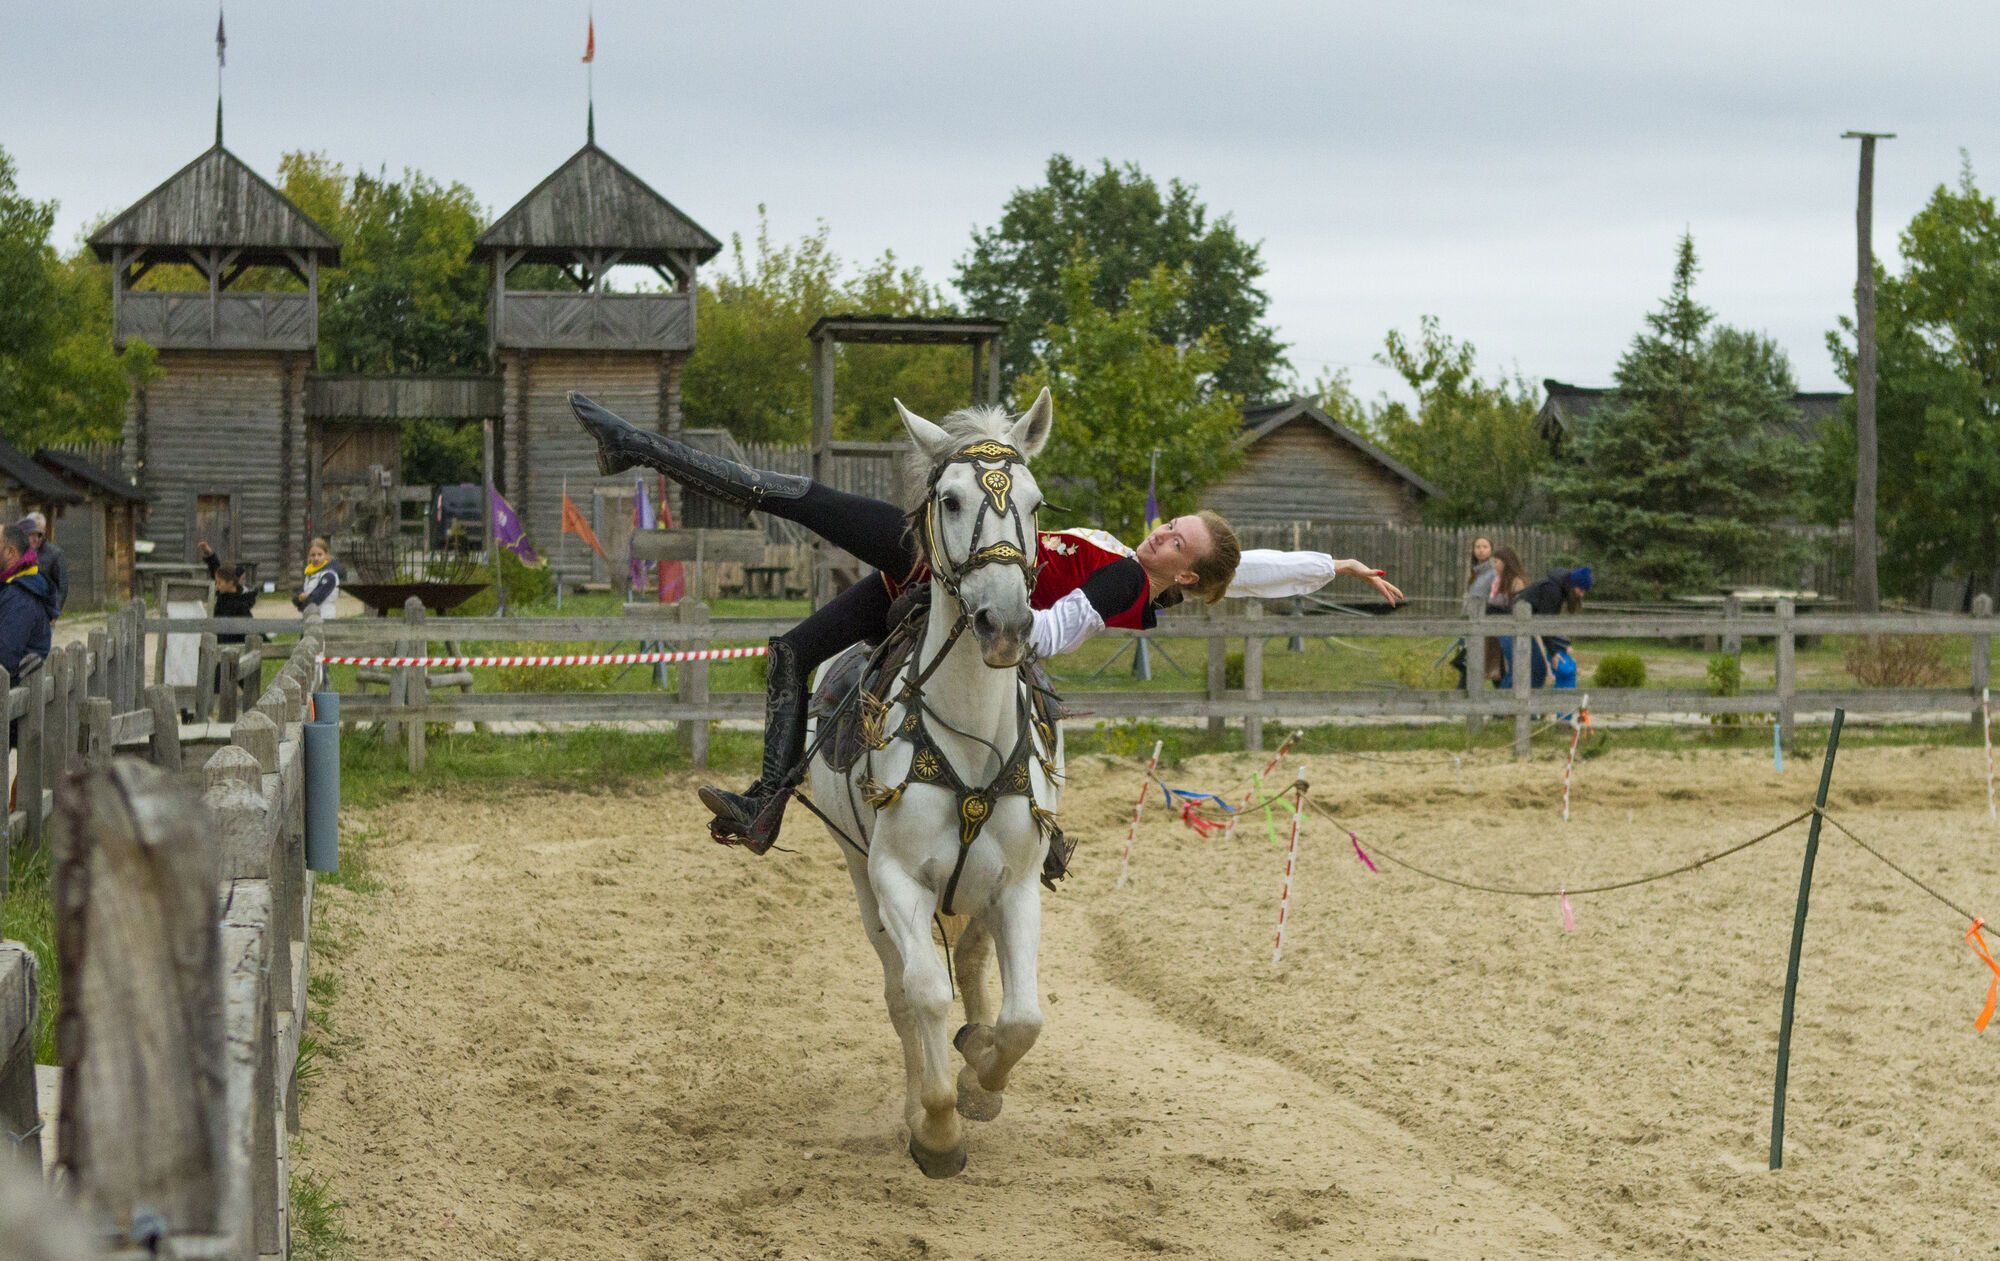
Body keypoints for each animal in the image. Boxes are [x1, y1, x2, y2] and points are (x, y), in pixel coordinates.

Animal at [808, 396, 1072, 1184]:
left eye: (1035, 503)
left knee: (976, 962)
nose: (1005, 623)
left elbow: (1023, 1017)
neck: (967, 742)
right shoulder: (897, 879)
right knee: (902, 989)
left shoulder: (1016, 883)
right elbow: (922, 994)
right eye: (950, 500)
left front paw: (980, 1076)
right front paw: (937, 1126)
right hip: (859, 875)